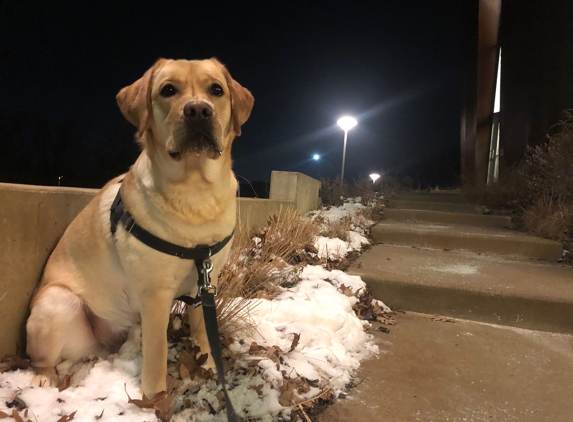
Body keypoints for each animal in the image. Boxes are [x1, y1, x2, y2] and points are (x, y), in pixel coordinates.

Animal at [24, 58, 252, 398]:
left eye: (216, 90)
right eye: (168, 90)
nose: (199, 110)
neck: (196, 193)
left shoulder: (205, 284)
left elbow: (203, 333)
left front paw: (210, 369)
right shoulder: (155, 295)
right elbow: (157, 354)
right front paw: (155, 398)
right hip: (57, 303)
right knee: (41, 358)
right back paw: (43, 379)